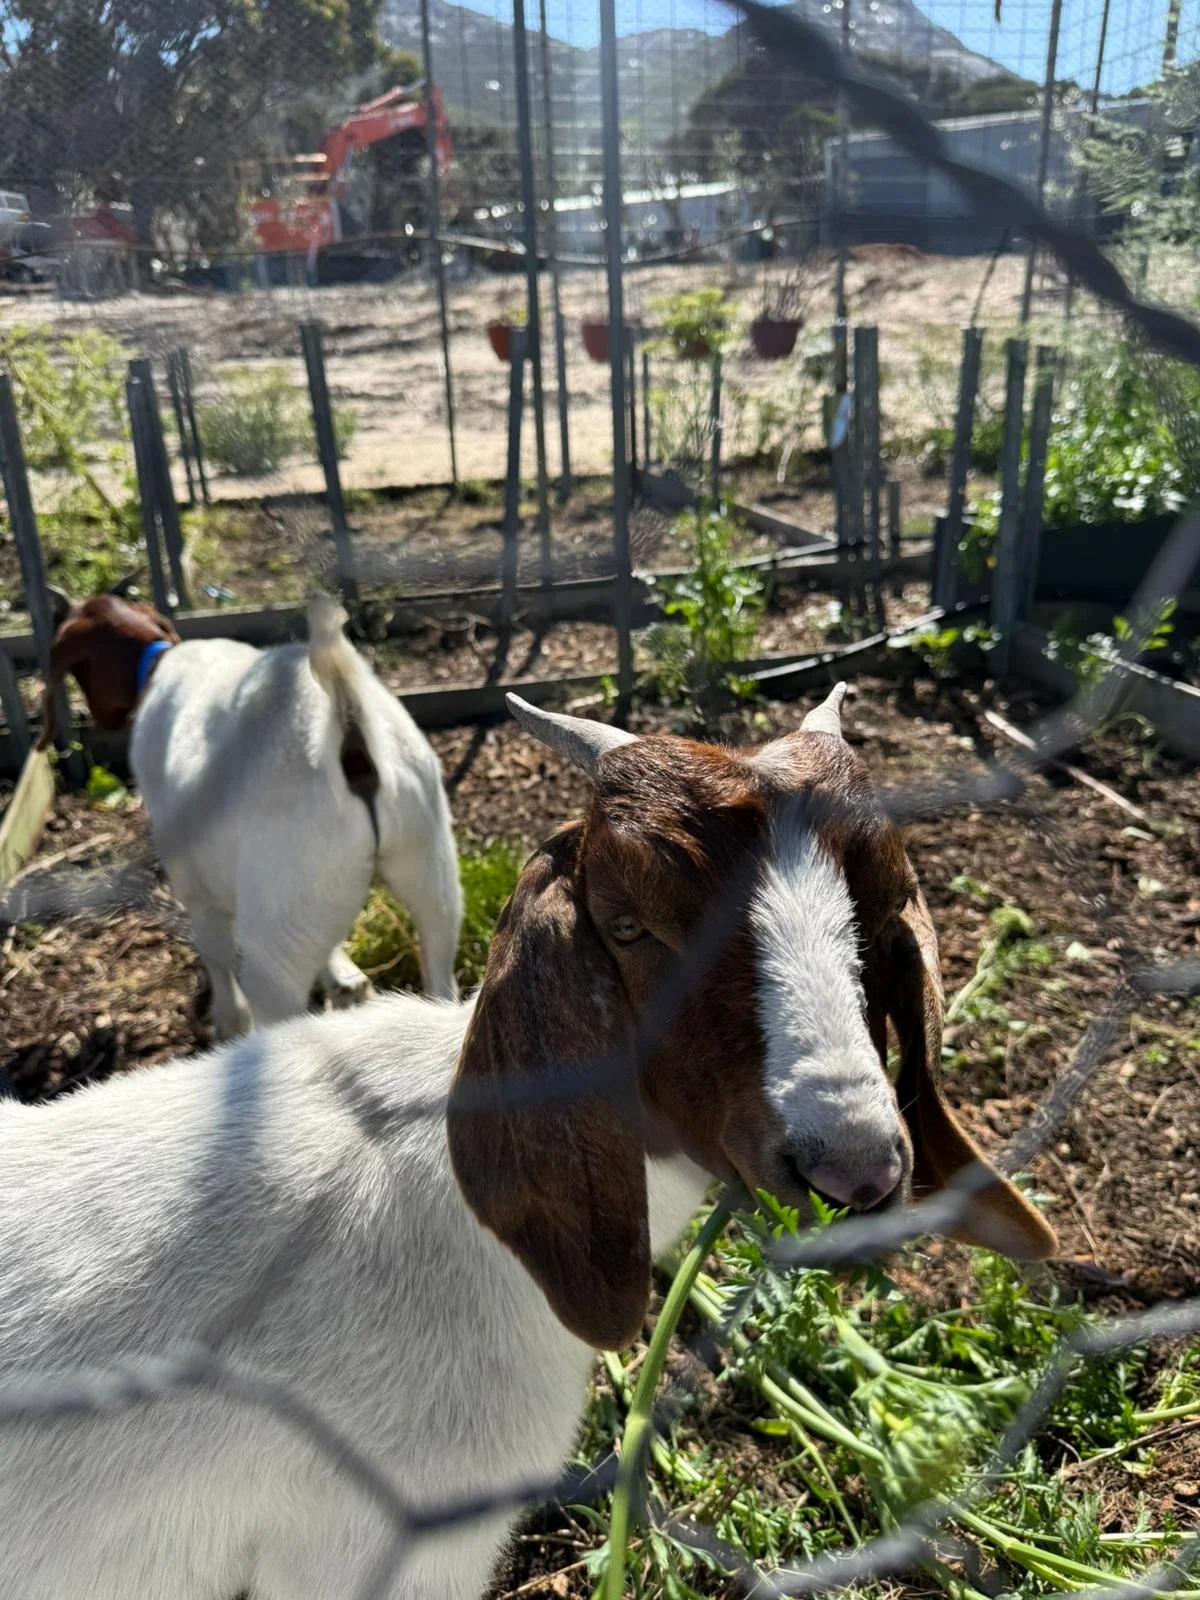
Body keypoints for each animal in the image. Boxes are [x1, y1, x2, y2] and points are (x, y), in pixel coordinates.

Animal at [38, 586, 463, 1030]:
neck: (156, 664)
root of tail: (346, 728)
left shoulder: (195, 888)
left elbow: (216, 957)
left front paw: (227, 1021)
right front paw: (345, 981)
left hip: (278, 930)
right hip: (430, 872)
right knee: (441, 966)